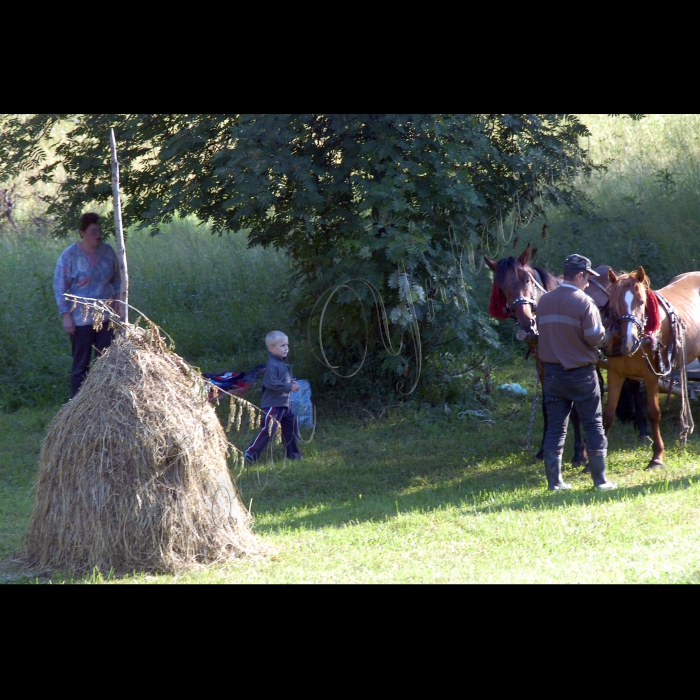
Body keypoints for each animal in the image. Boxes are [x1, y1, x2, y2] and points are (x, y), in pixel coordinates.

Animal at [600, 268, 700, 470]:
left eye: (641, 301)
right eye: (615, 304)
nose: (629, 340)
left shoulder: (651, 376)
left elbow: (653, 413)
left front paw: (657, 457)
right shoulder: (615, 374)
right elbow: (608, 414)